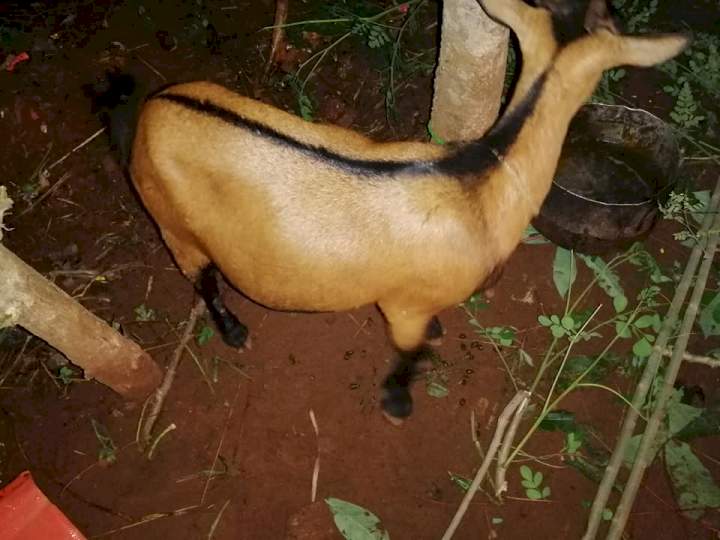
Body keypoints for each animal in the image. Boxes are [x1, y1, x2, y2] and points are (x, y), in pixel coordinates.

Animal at [105, 0, 688, 418]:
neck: (480, 181)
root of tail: (152, 106)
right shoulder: (403, 305)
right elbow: (410, 352)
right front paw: (398, 402)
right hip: (172, 222)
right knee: (203, 279)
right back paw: (233, 332)